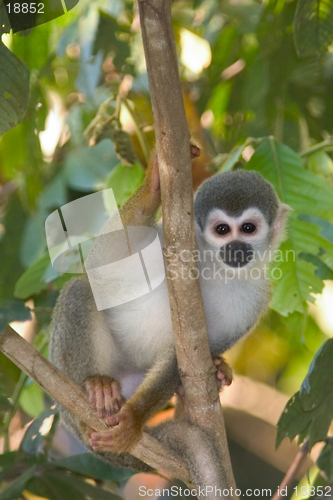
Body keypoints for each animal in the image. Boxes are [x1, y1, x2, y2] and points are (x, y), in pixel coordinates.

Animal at [49, 143, 288, 470]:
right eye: (222, 230)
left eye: (248, 228)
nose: (235, 248)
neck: (215, 267)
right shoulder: (170, 242)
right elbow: (104, 263)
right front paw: (154, 184)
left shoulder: (256, 297)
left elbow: (184, 357)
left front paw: (135, 417)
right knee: (81, 291)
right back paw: (96, 391)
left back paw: (209, 379)